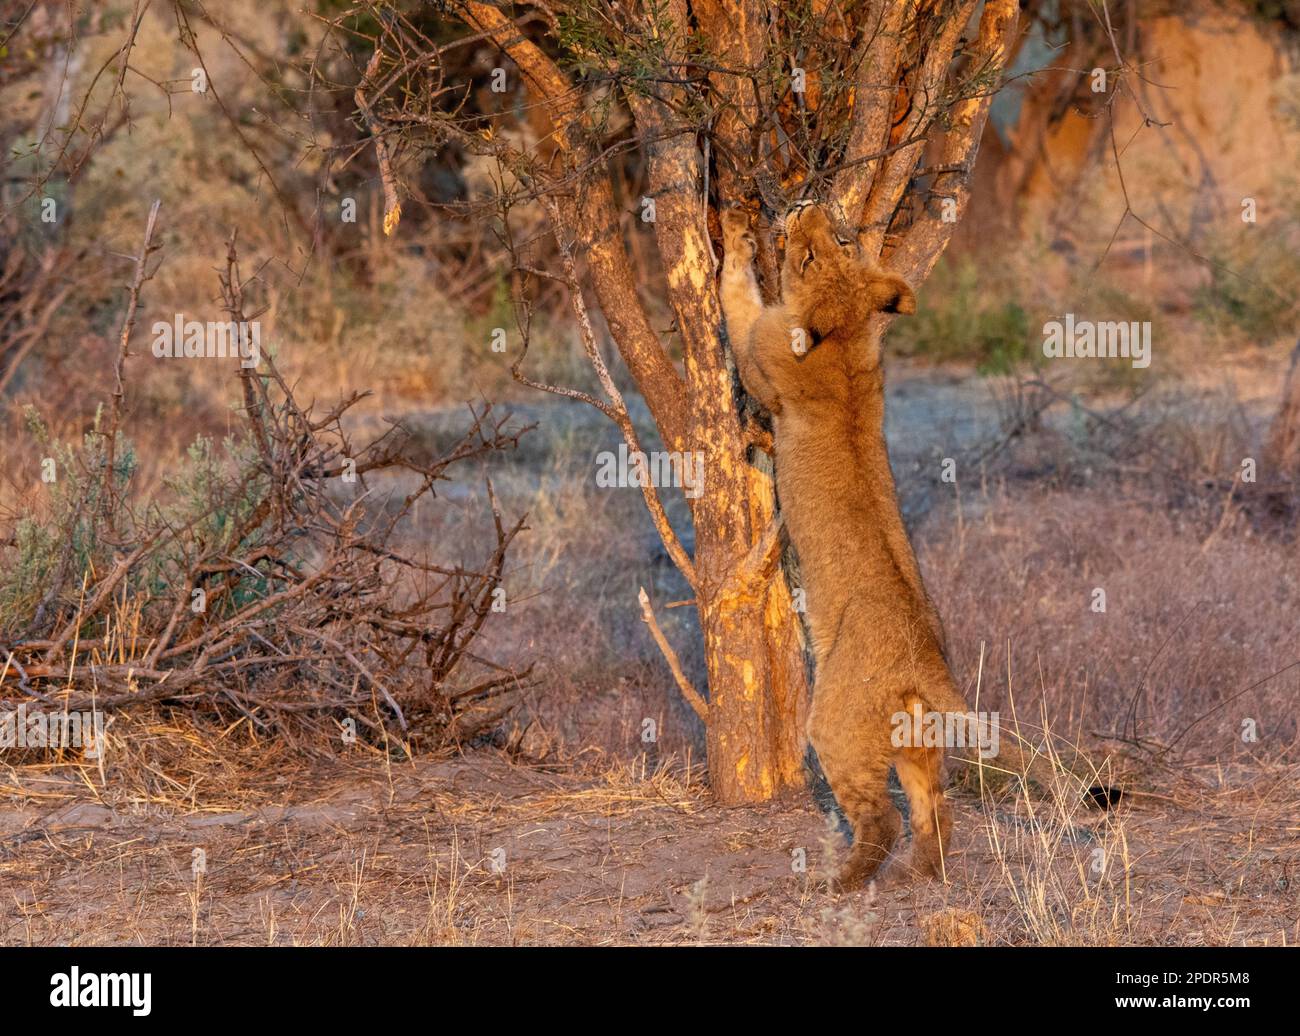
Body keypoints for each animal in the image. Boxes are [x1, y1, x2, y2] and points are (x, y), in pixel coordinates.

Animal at [719, 200, 974, 885]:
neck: (850, 342)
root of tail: (924, 658)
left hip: (834, 722)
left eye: (812, 253)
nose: (806, 205)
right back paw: (922, 872)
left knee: (879, 816)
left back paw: (842, 882)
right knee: (933, 801)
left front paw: (734, 237)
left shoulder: (761, 356)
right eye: (840, 237)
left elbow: (739, 303)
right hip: (914, 731)